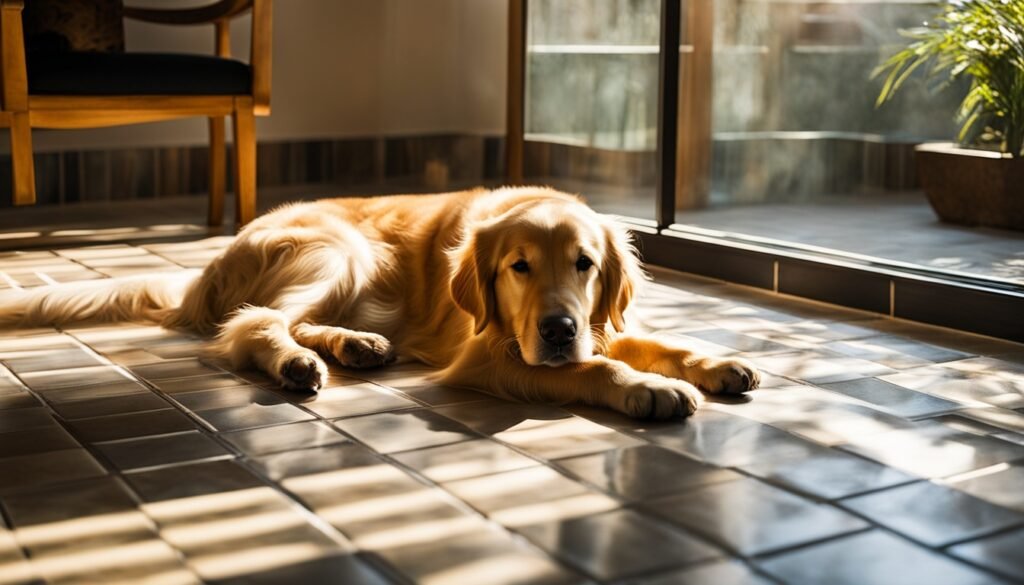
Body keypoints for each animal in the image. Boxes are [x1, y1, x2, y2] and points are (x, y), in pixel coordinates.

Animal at [0, 186, 761, 415]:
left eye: (585, 264)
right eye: (517, 267)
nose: (555, 328)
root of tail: (211, 264)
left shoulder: (598, 323)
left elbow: (651, 340)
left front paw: (715, 363)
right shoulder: (489, 357)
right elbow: (596, 366)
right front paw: (648, 390)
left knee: (298, 322)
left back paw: (354, 345)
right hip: (340, 251)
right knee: (254, 324)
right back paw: (296, 363)